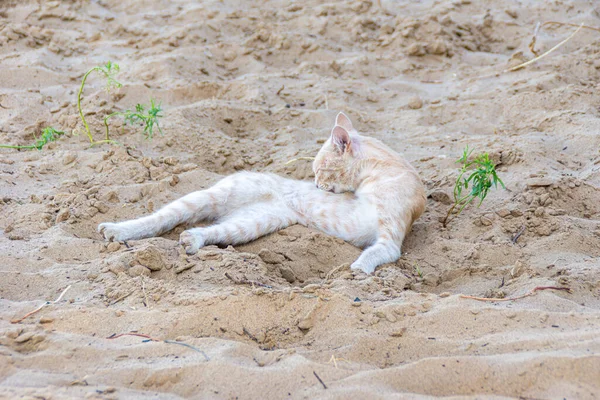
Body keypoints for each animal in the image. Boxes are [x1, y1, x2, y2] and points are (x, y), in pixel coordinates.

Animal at [97, 112, 426, 276]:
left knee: (209, 231)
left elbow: (375, 252)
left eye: (319, 170)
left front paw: (359, 267)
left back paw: (192, 239)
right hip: (208, 198)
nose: (315, 185)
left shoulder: (390, 239)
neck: (382, 171)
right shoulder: (388, 238)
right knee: (158, 218)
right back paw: (114, 230)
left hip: (250, 225)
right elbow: (374, 250)